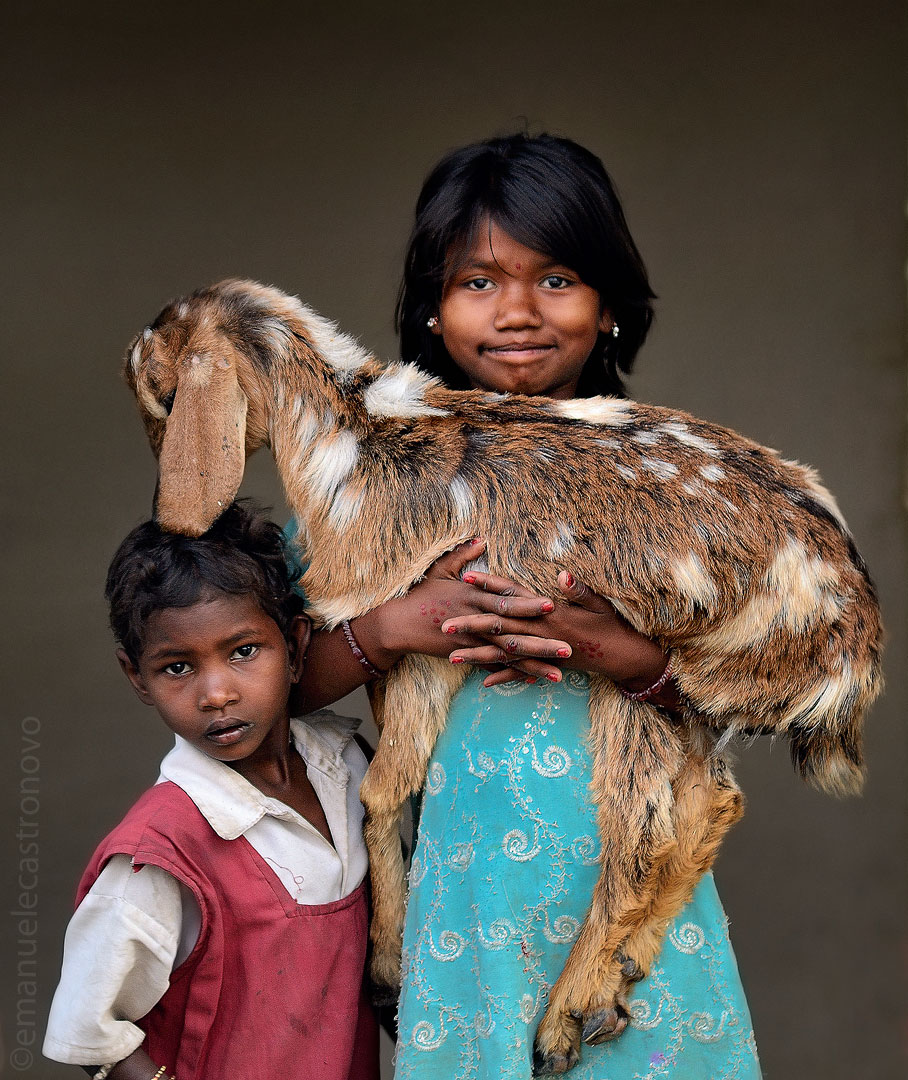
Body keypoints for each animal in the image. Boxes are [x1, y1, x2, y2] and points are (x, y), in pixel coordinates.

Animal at [125, 278, 882, 1075]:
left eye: (158, 392)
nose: (164, 511)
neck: (355, 438)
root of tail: (855, 643)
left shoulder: (434, 627)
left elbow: (381, 787)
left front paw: (388, 971)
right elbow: (391, 778)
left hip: (639, 668)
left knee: (644, 826)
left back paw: (566, 1016)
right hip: (688, 696)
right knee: (713, 801)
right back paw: (619, 979)